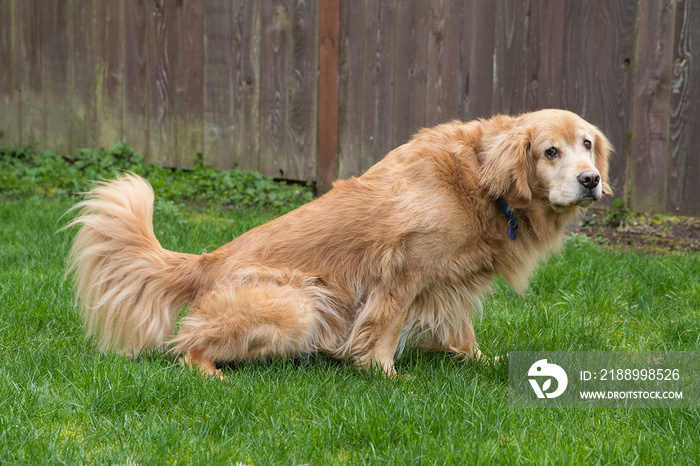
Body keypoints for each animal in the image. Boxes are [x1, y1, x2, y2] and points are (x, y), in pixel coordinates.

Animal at [67, 110, 612, 378]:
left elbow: (461, 330)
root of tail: (206, 261)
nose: (591, 180)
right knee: (186, 345)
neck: (481, 180)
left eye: (587, 144)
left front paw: (483, 363)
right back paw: (212, 373)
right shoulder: (404, 271)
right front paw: (384, 375)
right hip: (298, 304)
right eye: (550, 152)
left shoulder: (449, 282)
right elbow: (384, 329)